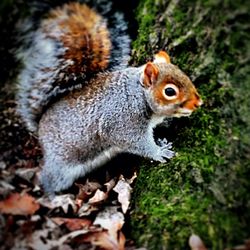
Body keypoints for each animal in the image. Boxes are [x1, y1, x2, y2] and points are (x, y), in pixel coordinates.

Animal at [15, 0, 202, 193]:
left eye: (184, 75)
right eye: (170, 91)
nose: (198, 102)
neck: (138, 94)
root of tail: (41, 125)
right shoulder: (122, 121)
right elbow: (136, 142)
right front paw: (159, 151)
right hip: (61, 164)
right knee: (49, 179)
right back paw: (53, 195)